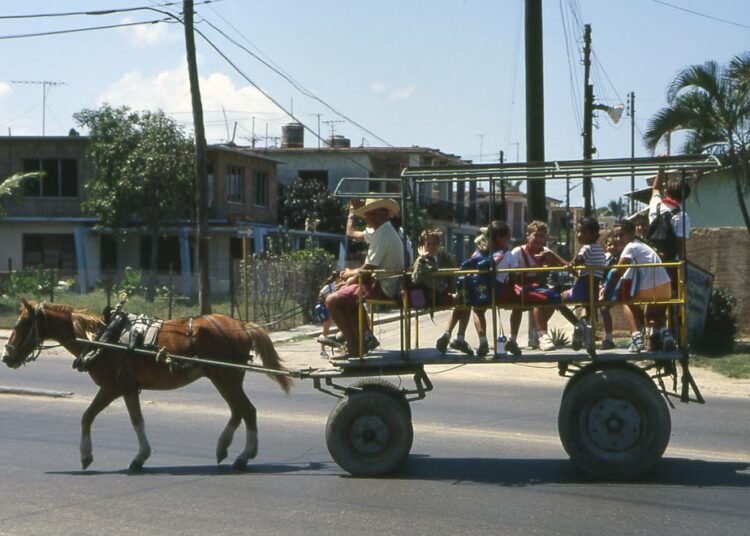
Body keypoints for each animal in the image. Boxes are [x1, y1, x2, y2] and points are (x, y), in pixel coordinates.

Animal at [1, 300, 292, 472]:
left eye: (22, 323)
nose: (7, 357)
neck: (102, 338)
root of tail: (242, 324)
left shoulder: (112, 388)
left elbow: (87, 417)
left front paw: (86, 455)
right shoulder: (128, 388)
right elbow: (136, 421)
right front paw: (140, 456)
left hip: (226, 377)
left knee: (248, 411)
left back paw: (244, 456)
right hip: (222, 377)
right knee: (237, 411)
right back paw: (224, 448)